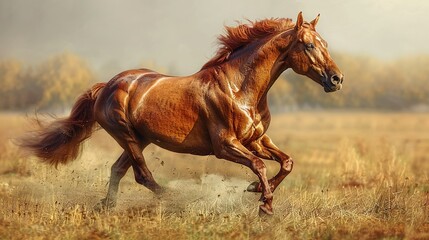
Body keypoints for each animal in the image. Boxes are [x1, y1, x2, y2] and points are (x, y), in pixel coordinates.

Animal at [20, 12, 342, 216]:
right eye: (309, 45)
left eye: (325, 44)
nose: (337, 79)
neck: (240, 89)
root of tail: (107, 85)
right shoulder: (225, 146)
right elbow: (259, 166)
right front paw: (265, 205)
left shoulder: (258, 140)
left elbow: (286, 163)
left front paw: (256, 191)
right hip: (126, 136)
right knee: (142, 174)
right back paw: (175, 201)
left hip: (140, 138)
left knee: (118, 170)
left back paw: (106, 206)